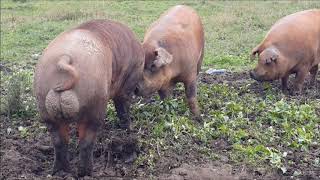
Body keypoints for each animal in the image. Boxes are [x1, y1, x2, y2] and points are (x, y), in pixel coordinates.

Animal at [34, 19, 144, 176]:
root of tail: (64, 58)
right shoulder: (127, 83)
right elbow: (123, 107)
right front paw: (129, 129)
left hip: (45, 106)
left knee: (59, 141)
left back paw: (61, 171)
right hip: (95, 104)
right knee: (86, 142)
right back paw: (87, 172)